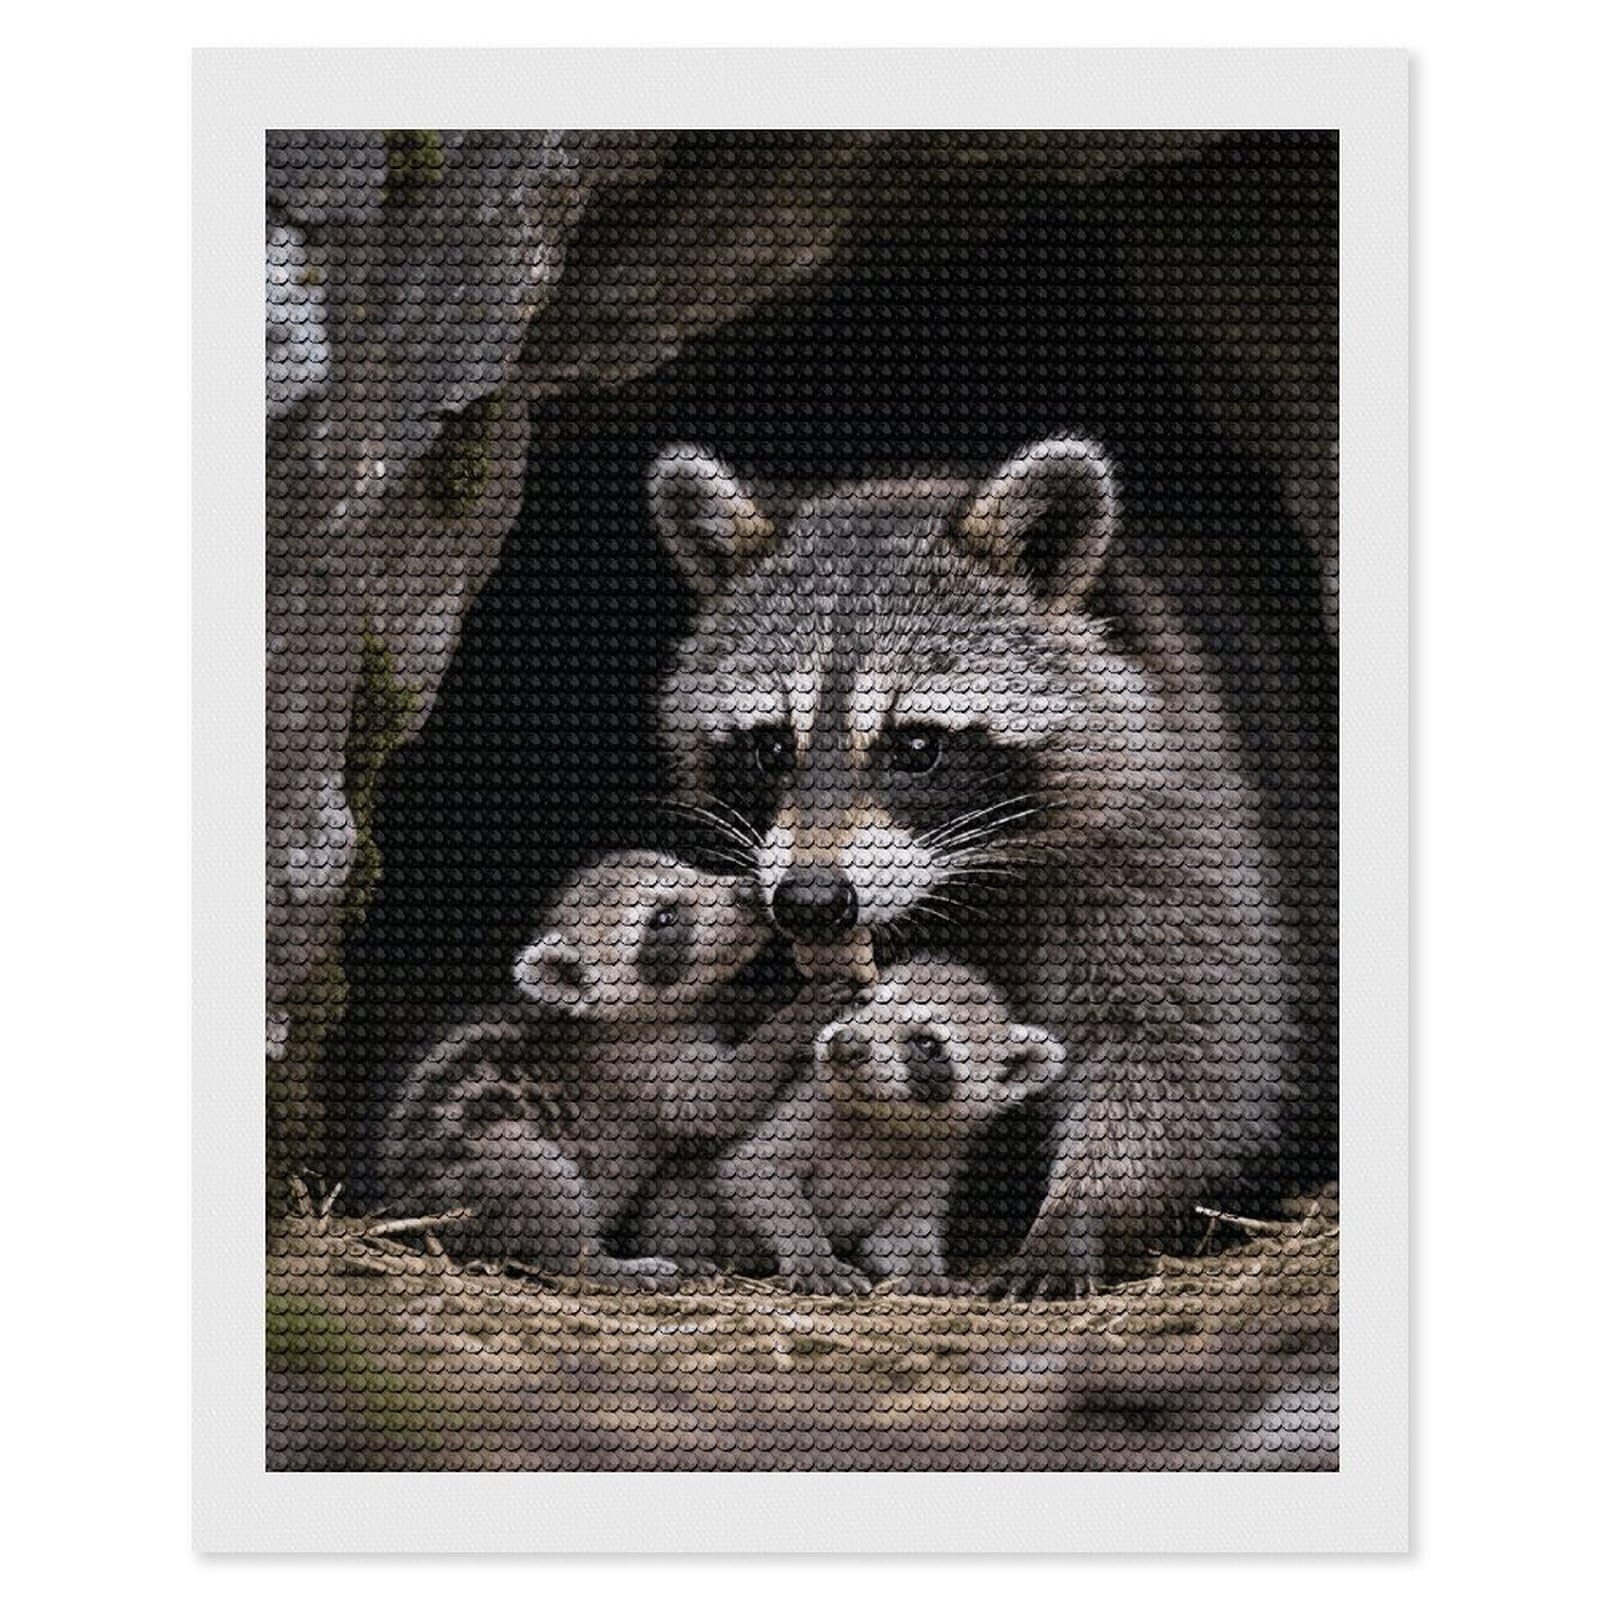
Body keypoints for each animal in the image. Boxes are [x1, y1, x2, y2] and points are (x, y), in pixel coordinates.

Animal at [381, 850, 814, 1285]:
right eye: (664, 918)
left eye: (690, 867)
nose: (749, 891)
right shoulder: (641, 1070)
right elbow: (718, 1100)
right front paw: (802, 1010)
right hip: (478, 1173)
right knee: (538, 1178)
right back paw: (600, 1265)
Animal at [716, 959, 1069, 1296]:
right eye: (861, 1002)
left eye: (926, 1043)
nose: (846, 1044)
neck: (883, 1120)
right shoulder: (803, 1111)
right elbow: (755, 1169)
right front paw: (812, 1252)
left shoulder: (935, 1165)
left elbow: (901, 1231)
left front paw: (923, 1269)